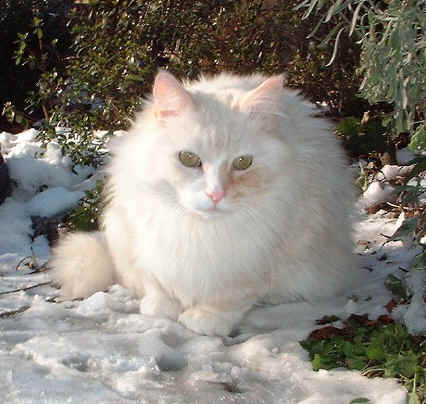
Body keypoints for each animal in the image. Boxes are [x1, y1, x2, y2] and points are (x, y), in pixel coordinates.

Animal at [51, 71, 362, 336]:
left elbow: (232, 296)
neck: (198, 229)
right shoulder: (144, 240)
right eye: (188, 159)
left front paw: (205, 319)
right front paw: (162, 308)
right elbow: (157, 283)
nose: (216, 194)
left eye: (242, 163)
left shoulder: (257, 258)